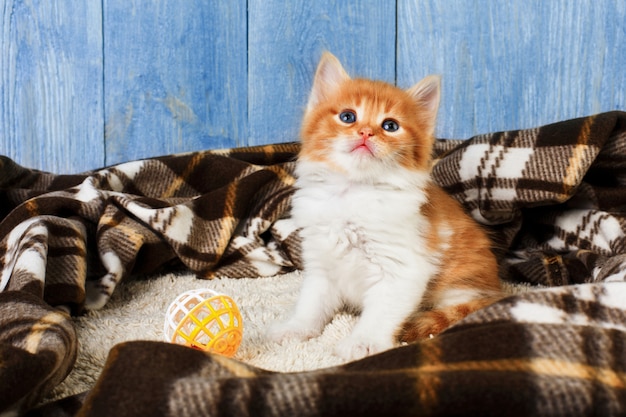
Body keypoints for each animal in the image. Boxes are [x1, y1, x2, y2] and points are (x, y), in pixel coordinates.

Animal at [270, 50, 502, 360]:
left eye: (390, 126)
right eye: (348, 117)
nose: (366, 133)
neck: (354, 191)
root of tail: (497, 289)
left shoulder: (402, 269)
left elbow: (380, 314)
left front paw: (362, 342)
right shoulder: (321, 262)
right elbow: (311, 304)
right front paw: (295, 328)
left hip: (461, 285)